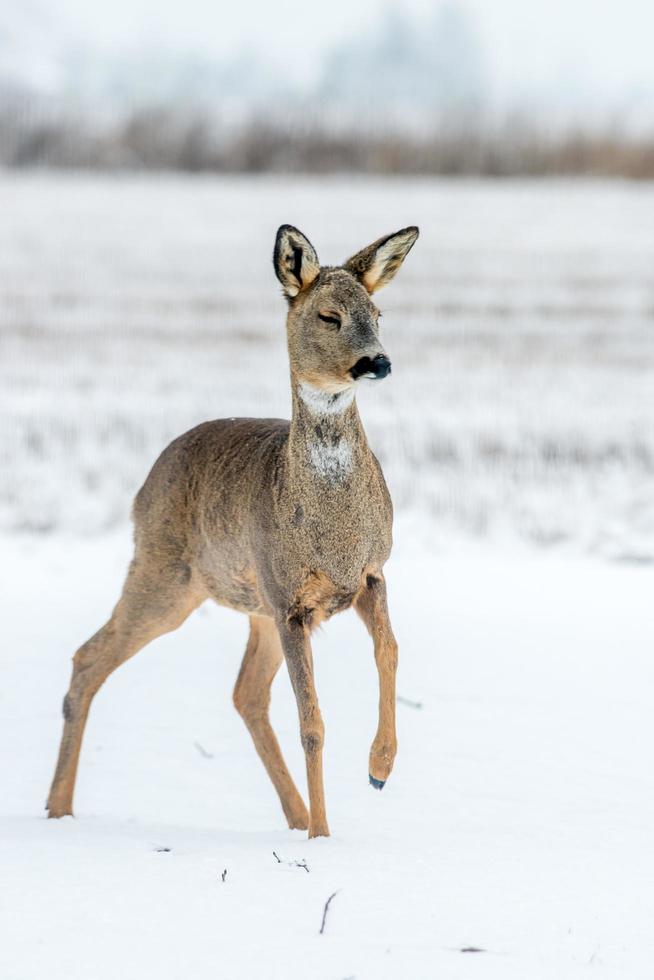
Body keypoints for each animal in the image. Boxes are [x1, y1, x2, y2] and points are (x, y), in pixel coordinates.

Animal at [48, 222, 422, 836]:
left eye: (377, 312)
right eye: (328, 316)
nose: (379, 362)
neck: (334, 528)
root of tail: (143, 485)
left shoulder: (369, 572)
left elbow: (390, 650)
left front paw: (380, 768)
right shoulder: (291, 598)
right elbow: (312, 724)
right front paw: (324, 835)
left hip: (252, 606)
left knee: (245, 694)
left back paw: (294, 816)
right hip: (166, 575)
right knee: (87, 657)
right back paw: (57, 809)